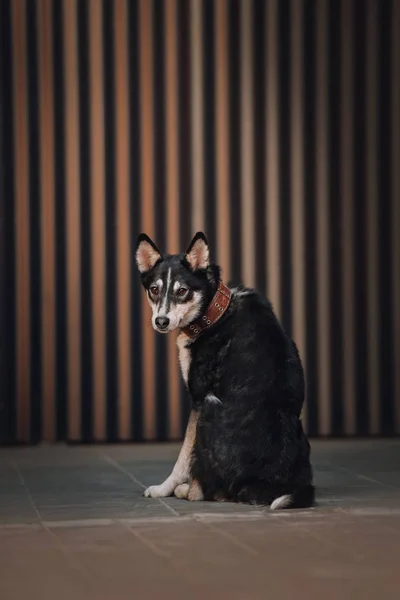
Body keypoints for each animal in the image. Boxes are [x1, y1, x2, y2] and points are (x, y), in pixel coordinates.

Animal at [136, 232, 314, 508]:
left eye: (182, 291)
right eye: (154, 290)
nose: (161, 321)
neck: (214, 312)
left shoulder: (199, 398)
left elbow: (183, 457)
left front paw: (163, 489)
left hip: (210, 407)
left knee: (203, 492)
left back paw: (186, 490)